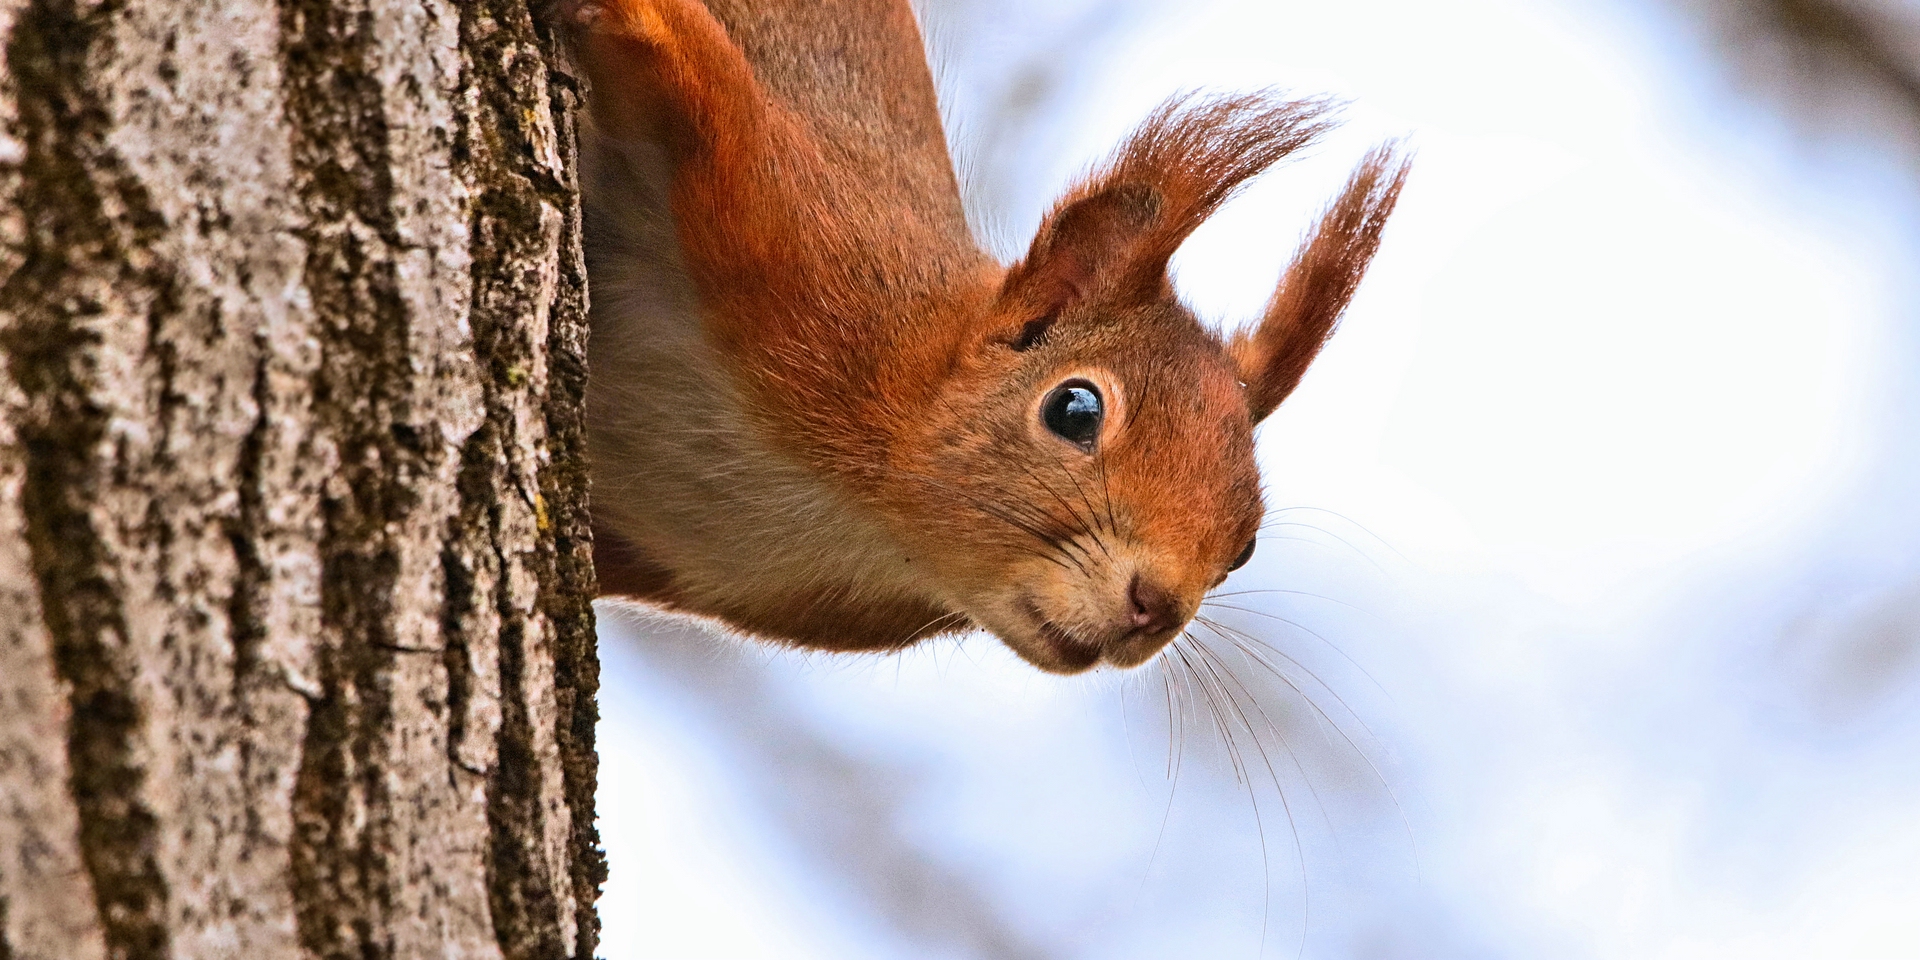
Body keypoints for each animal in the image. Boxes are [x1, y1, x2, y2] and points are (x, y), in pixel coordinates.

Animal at [560, 0, 1405, 675]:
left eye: (1246, 547)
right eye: (1074, 411)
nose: (1155, 607)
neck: (871, 513)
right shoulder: (806, 242)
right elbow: (697, 75)